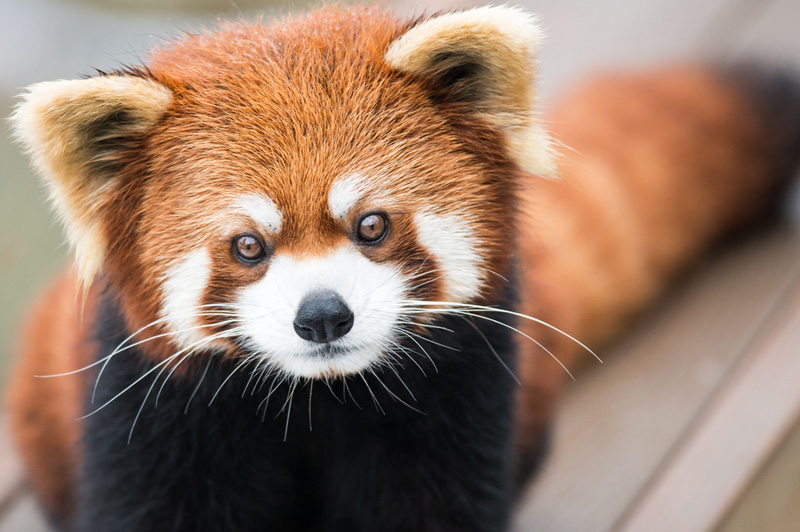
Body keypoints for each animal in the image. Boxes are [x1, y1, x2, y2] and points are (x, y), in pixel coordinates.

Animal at [6, 4, 800, 532]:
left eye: (372, 225)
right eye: (248, 246)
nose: (323, 315)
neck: (318, 401)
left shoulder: (459, 394)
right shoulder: (156, 413)